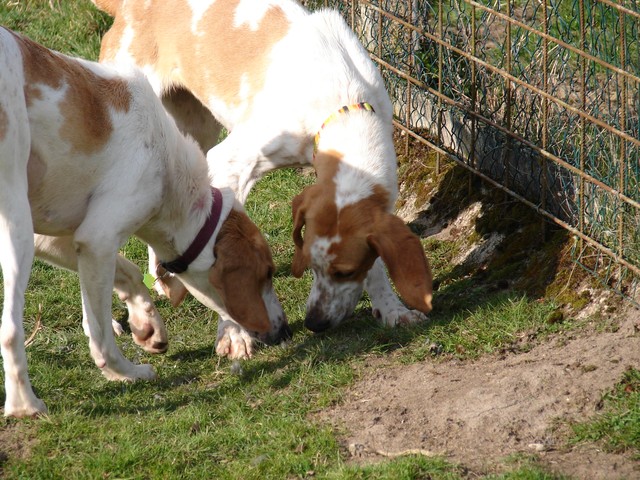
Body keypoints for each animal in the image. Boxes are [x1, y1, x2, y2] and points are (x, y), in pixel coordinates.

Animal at [0, 27, 290, 416]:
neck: (169, 169)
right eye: (267, 273)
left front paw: (147, 323)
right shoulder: (98, 239)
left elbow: (130, 271)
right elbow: (100, 335)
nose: (286, 330)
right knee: (10, 331)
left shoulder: (56, 238)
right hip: (15, 229)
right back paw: (24, 403)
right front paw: (126, 372)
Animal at [92, 0, 432, 340]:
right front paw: (234, 334)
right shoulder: (228, 164)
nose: (315, 323)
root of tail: (127, 7)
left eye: (346, 272)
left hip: (190, 138)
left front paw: (392, 309)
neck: (343, 98)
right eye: (310, 264)